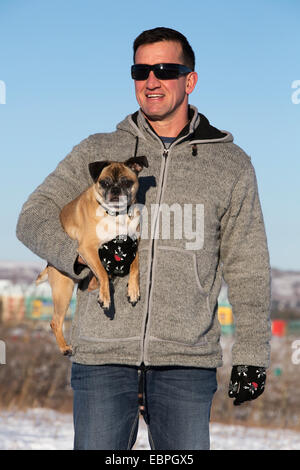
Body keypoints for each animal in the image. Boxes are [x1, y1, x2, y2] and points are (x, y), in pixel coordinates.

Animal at [36, 156, 149, 354]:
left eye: (127, 182)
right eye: (104, 182)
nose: (115, 190)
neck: (117, 215)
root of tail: (48, 265)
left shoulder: (133, 245)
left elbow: (135, 267)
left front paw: (133, 290)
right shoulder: (88, 249)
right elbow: (102, 272)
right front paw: (105, 296)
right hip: (64, 289)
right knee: (55, 321)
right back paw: (64, 347)